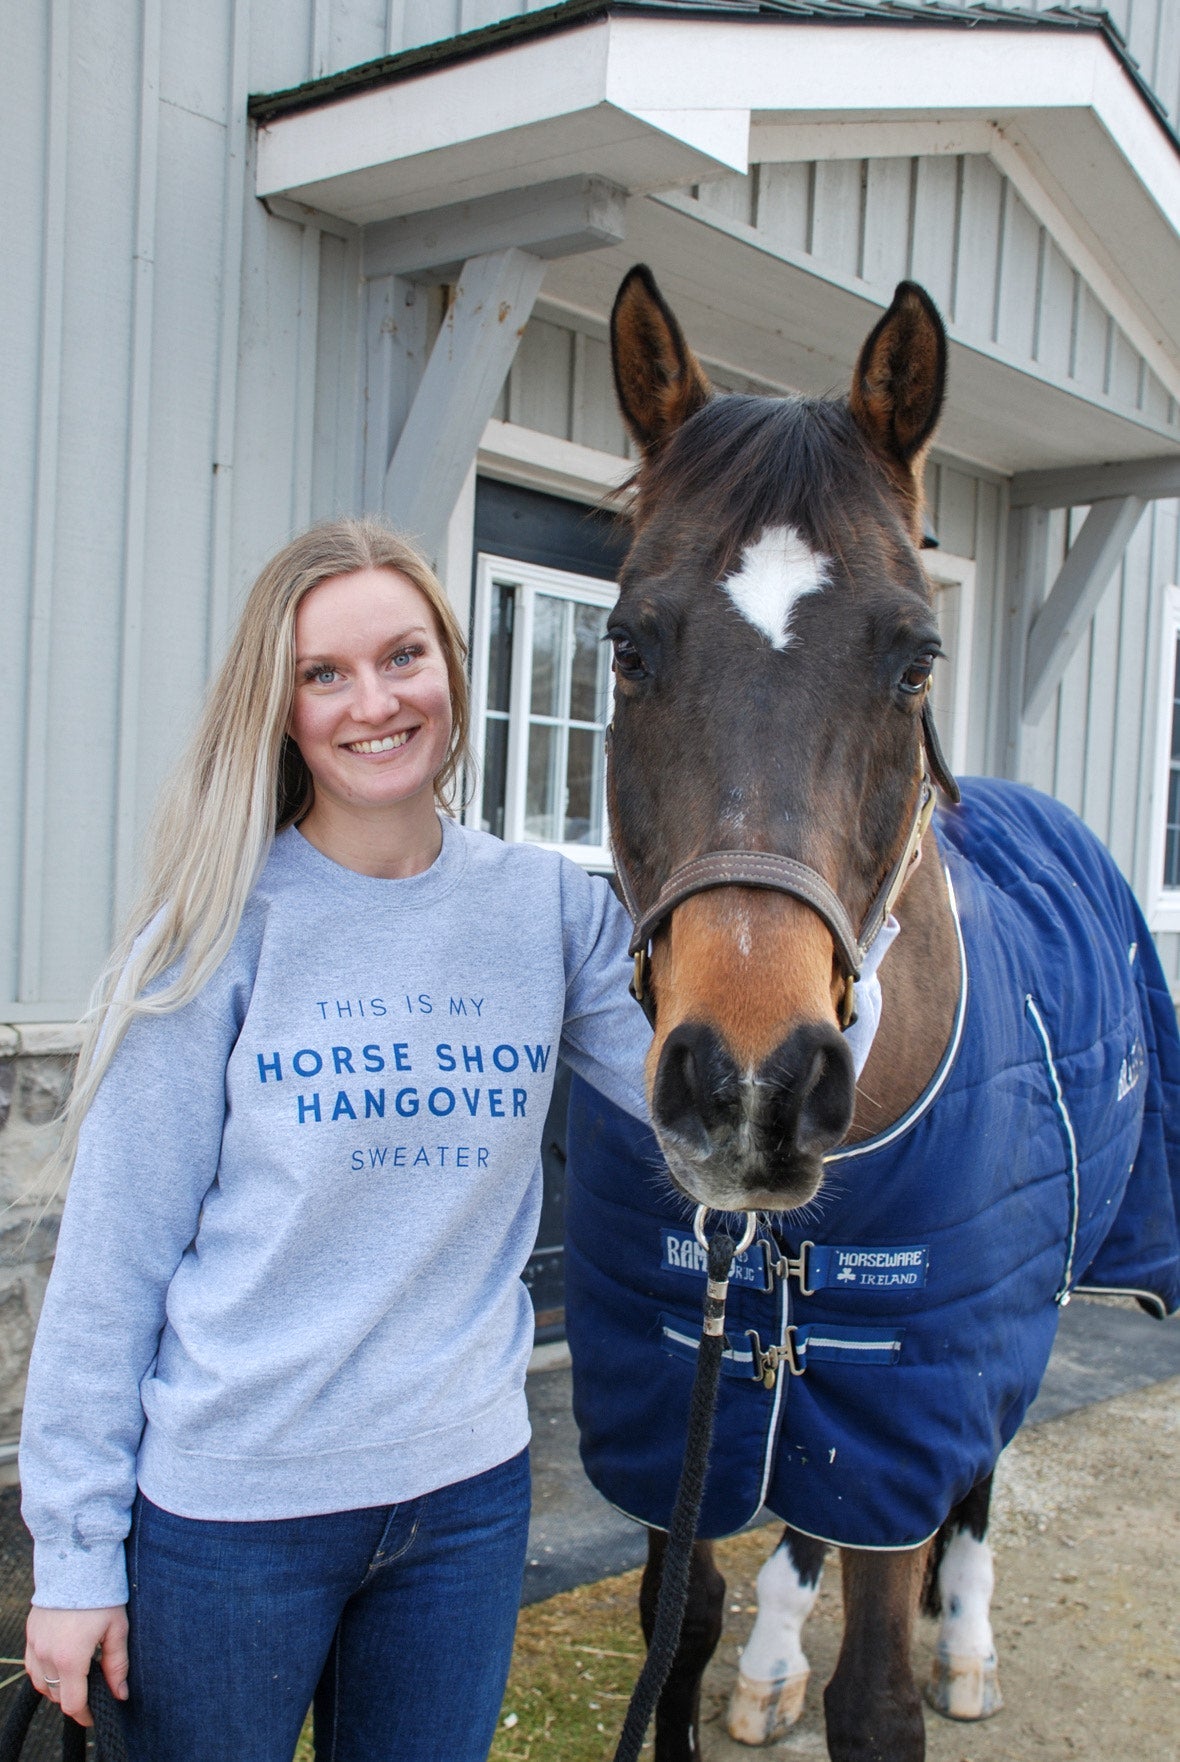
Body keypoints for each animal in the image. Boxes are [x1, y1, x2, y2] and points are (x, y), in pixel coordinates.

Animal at [563, 266, 1180, 1762]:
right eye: (627, 644)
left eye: (915, 660)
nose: (750, 1085)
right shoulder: (678, 1391)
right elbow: (680, 1623)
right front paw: (747, 1659)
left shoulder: (913, 1379)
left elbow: (879, 1698)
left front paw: (918, 1657)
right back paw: (778, 1658)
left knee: (971, 1477)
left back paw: (968, 1638)